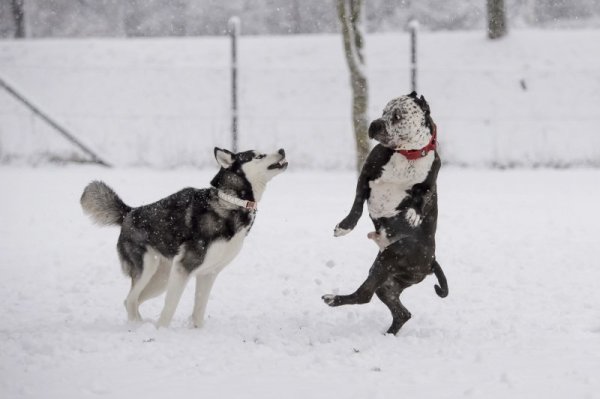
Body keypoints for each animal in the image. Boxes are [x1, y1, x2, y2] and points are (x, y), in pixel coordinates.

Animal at [81, 148, 288, 328]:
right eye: (259, 156)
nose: (282, 150)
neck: (232, 202)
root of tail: (130, 212)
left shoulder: (208, 273)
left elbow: (199, 308)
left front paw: (197, 332)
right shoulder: (184, 267)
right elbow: (170, 306)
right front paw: (161, 331)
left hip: (162, 279)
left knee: (132, 300)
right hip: (148, 268)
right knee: (131, 300)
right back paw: (137, 327)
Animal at [324, 92, 446, 336]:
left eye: (398, 116)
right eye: (383, 111)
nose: (374, 124)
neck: (407, 154)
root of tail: (432, 261)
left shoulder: (430, 182)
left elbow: (422, 197)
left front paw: (414, 214)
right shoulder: (366, 175)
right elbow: (357, 205)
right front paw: (345, 226)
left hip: (391, 257)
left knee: (365, 295)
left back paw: (334, 299)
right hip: (388, 280)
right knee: (399, 311)